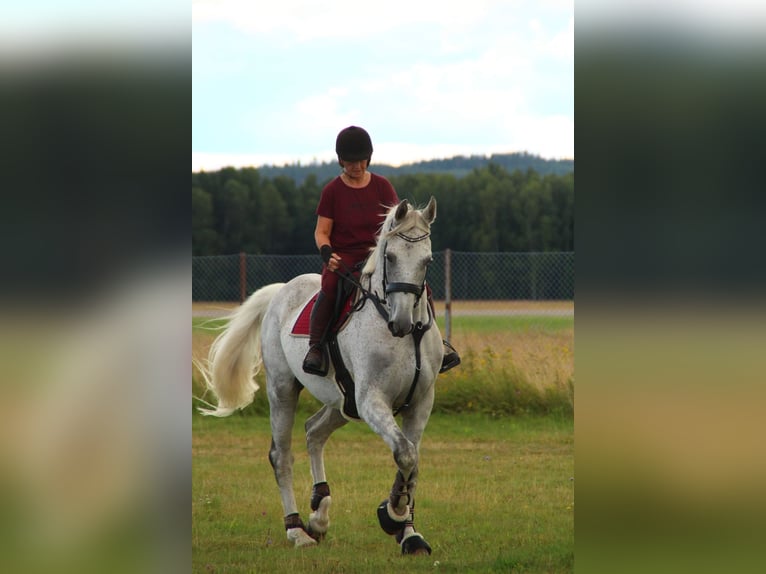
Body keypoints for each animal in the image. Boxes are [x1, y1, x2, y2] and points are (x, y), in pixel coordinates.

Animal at [198, 199, 444, 560]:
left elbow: (411, 461)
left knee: (314, 431)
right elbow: (406, 454)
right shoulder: (372, 400)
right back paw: (297, 530)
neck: (404, 336)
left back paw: (319, 514)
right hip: (284, 390)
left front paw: (408, 533)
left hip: (342, 403)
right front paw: (392, 515)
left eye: (427, 261)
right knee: (281, 456)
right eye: (391, 258)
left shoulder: (421, 402)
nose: (401, 322)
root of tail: (280, 291)